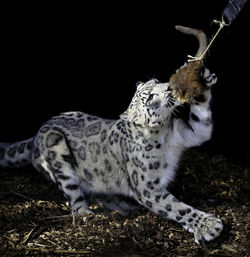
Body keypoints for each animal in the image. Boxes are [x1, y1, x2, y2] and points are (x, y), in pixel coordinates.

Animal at [0, 65, 223, 243]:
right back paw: (86, 213)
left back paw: (126, 208)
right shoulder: (147, 187)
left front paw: (204, 80)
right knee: (74, 192)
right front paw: (209, 225)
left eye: (157, 81)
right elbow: (176, 208)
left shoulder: (189, 134)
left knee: (98, 191)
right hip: (57, 152)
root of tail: (37, 133)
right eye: (150, 96)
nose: (169, 86)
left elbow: (202, 124)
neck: (165, 135)